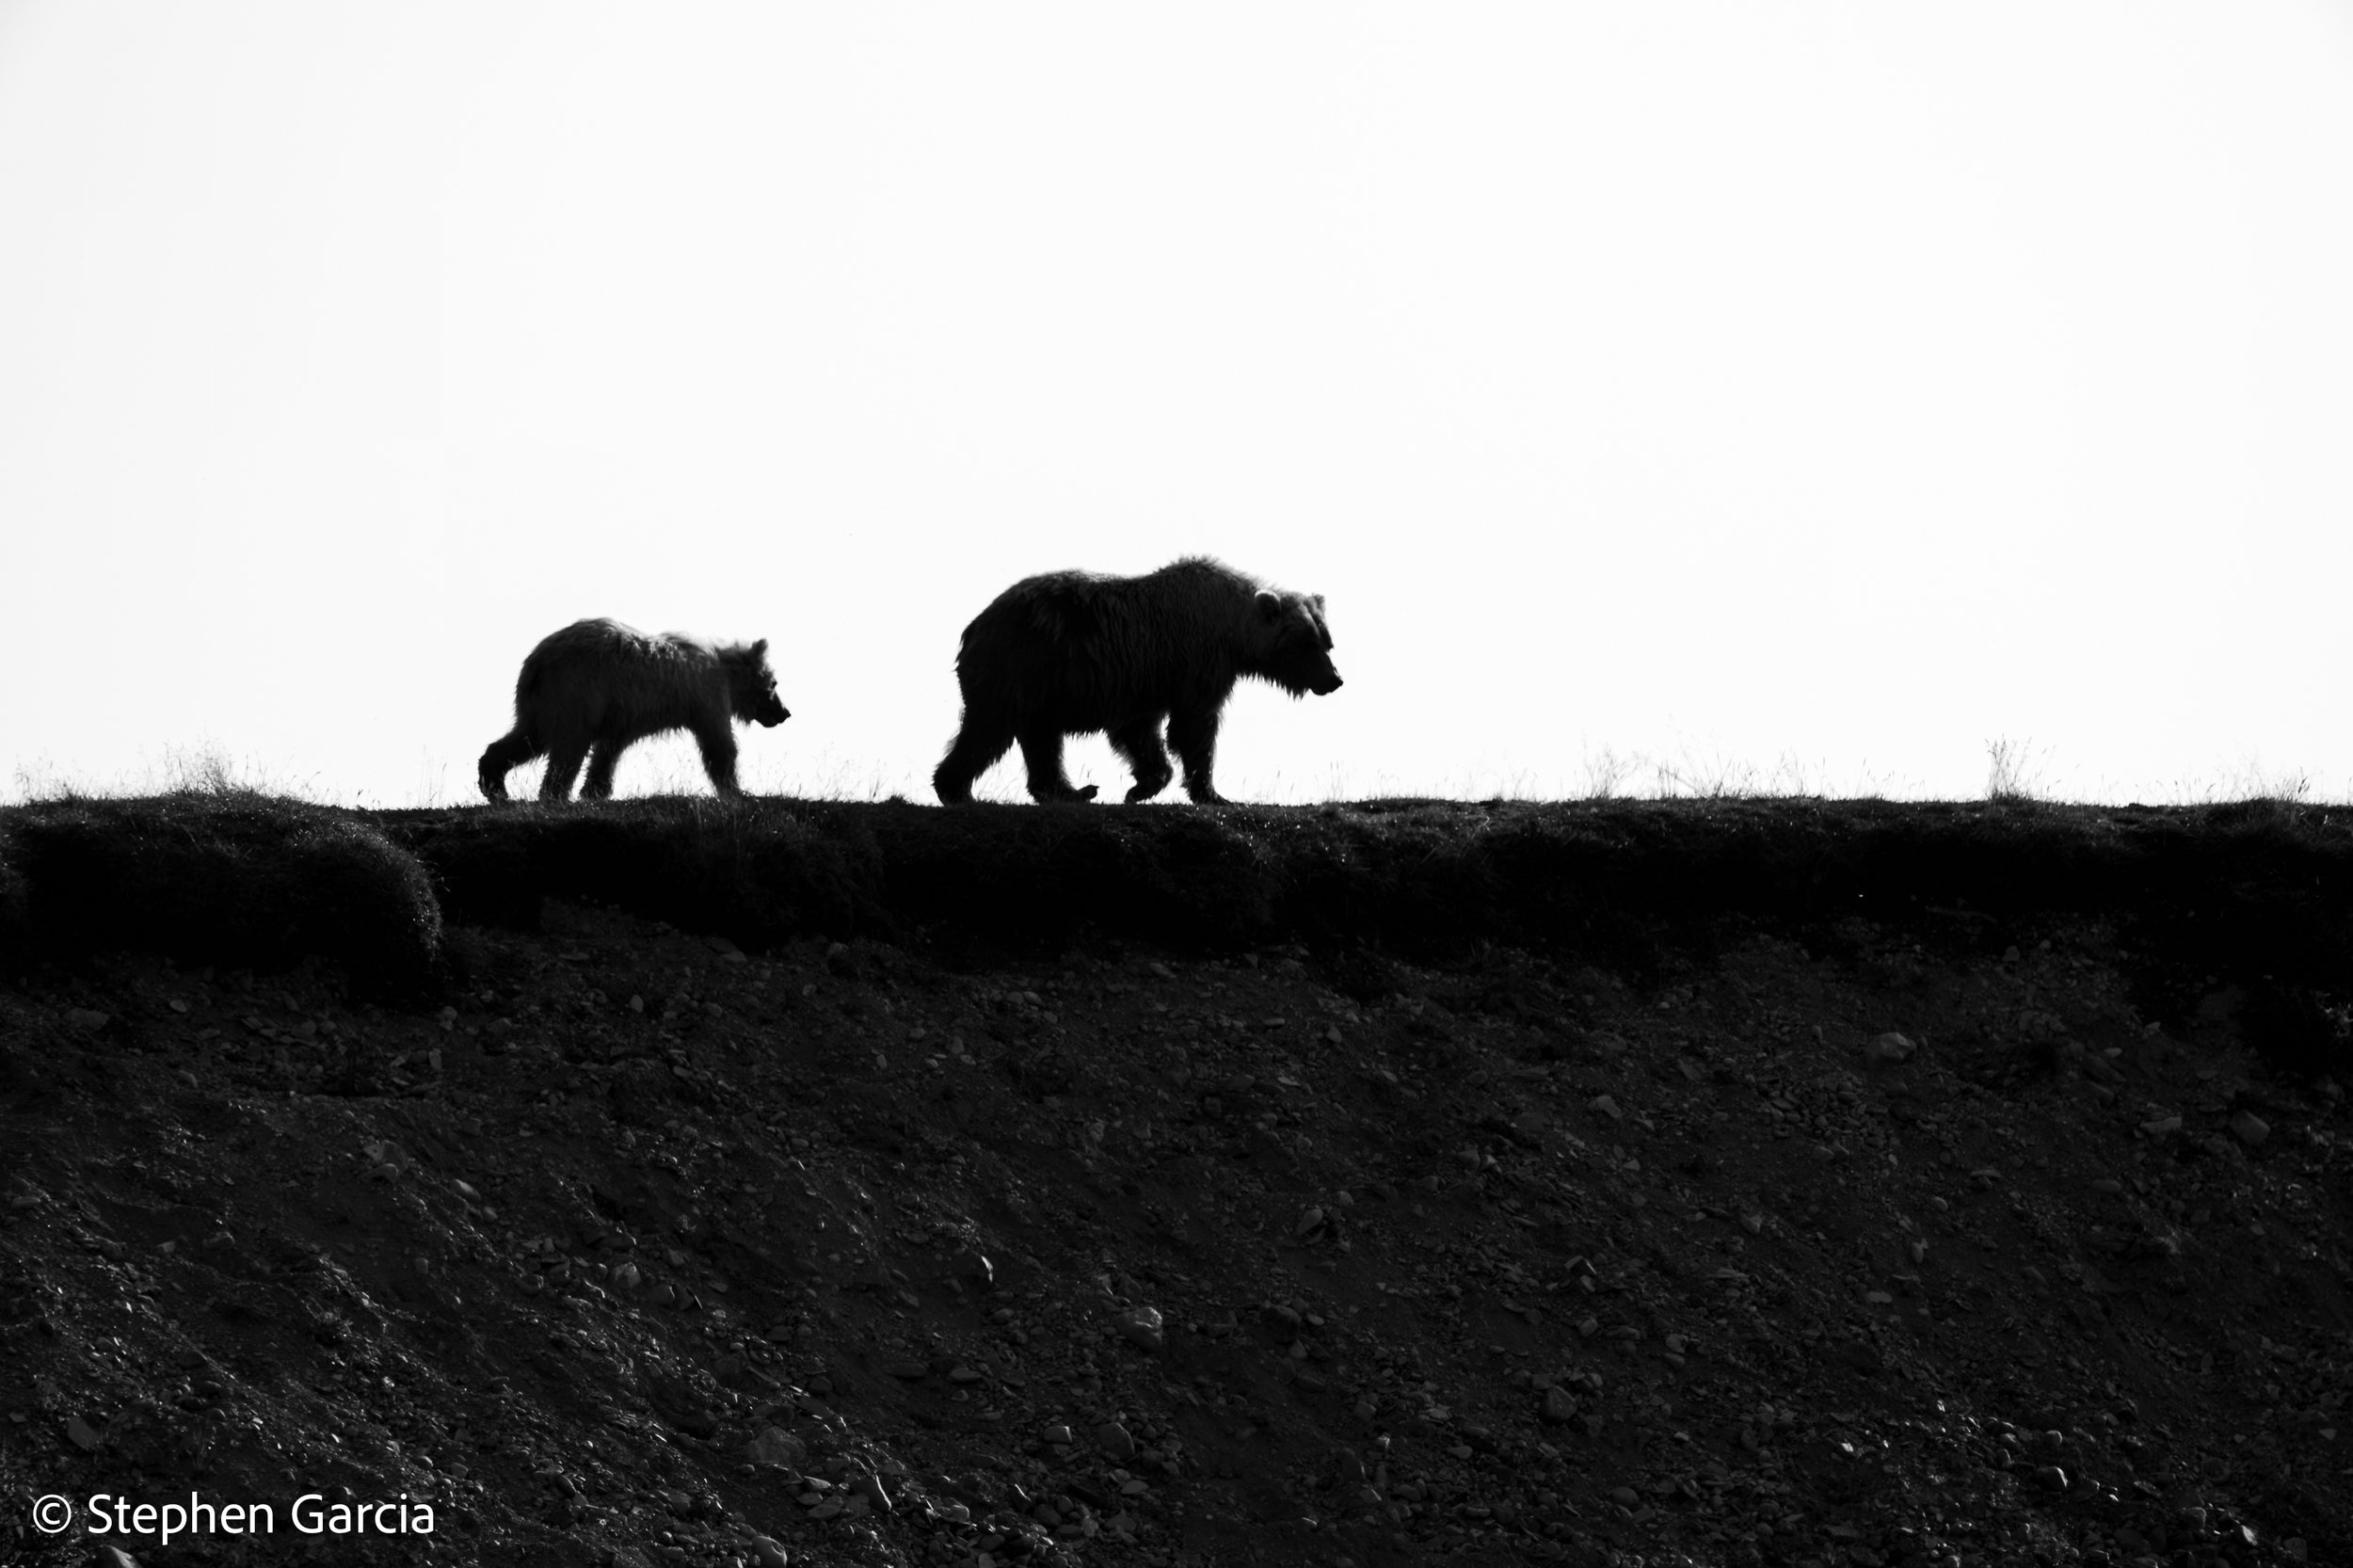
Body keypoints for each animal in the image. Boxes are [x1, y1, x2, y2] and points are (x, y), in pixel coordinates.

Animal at [477, 619, 790, 803]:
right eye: (775, 683)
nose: (785, 712)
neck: (725, 672)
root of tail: (536, 661)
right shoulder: (706, 699)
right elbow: (719, 744)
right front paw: (737, 790)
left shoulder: (624, 713)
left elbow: (609, 749)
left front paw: (596, 790)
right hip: (576, 690)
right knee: (568, 745)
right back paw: (554, 794)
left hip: (541, 702)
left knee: (527, 737)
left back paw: (494, 785)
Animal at [933, 556, 1342, 806]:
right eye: (1306, 643)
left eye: (1326, 641)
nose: (1334, 679)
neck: (1231, 631)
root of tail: (974, 625)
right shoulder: (1196, 662)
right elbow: (1194, 727)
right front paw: (1212, 792)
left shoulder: (1143, 680)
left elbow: (1139, 733)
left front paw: (1143, 785)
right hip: (1020, 667)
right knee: (990, 730)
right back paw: (959, 790)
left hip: (1036, 685)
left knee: (1037, 739)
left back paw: (1068, 790)